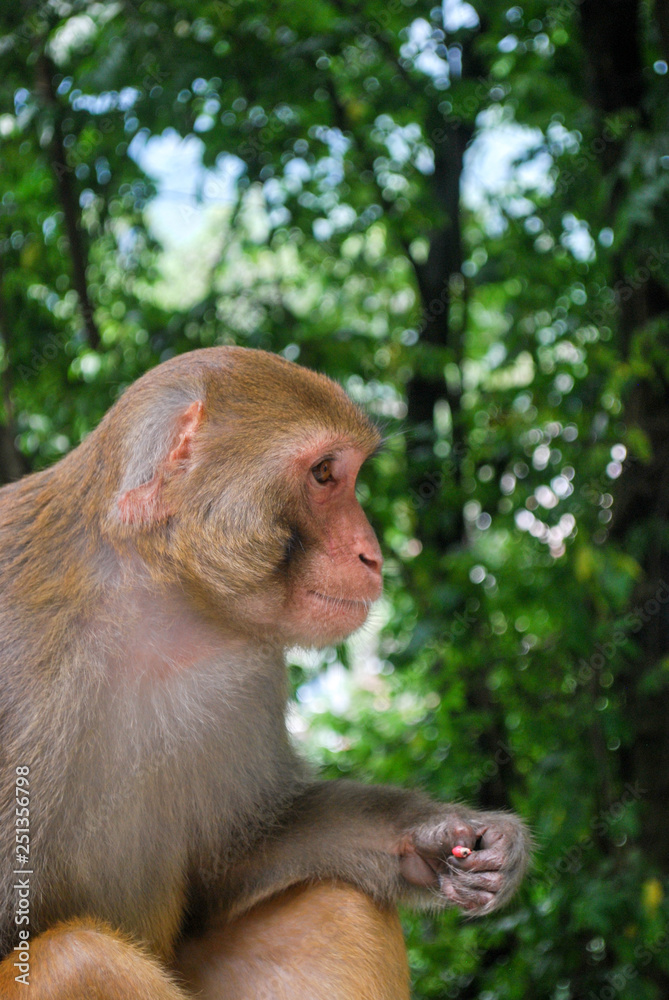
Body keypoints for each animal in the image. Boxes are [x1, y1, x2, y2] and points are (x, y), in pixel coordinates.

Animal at [0, 347, 530, 999]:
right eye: (324, 474)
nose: (373, 555)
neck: (149, 603)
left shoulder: (248, 669)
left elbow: (230, 866)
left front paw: (440, 839)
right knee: (76, 959)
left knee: (338, 899)